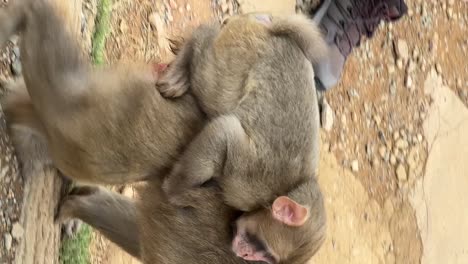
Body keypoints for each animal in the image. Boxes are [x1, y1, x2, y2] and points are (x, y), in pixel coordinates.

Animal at [157, 13, 326, 262]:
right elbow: (225, 131)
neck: (284, 190)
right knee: (211, 83)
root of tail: (274, 32)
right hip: (238, 52)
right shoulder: (249, 183)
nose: (245, 255)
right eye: (264, 250)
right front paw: (174, 190)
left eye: (266, 259)